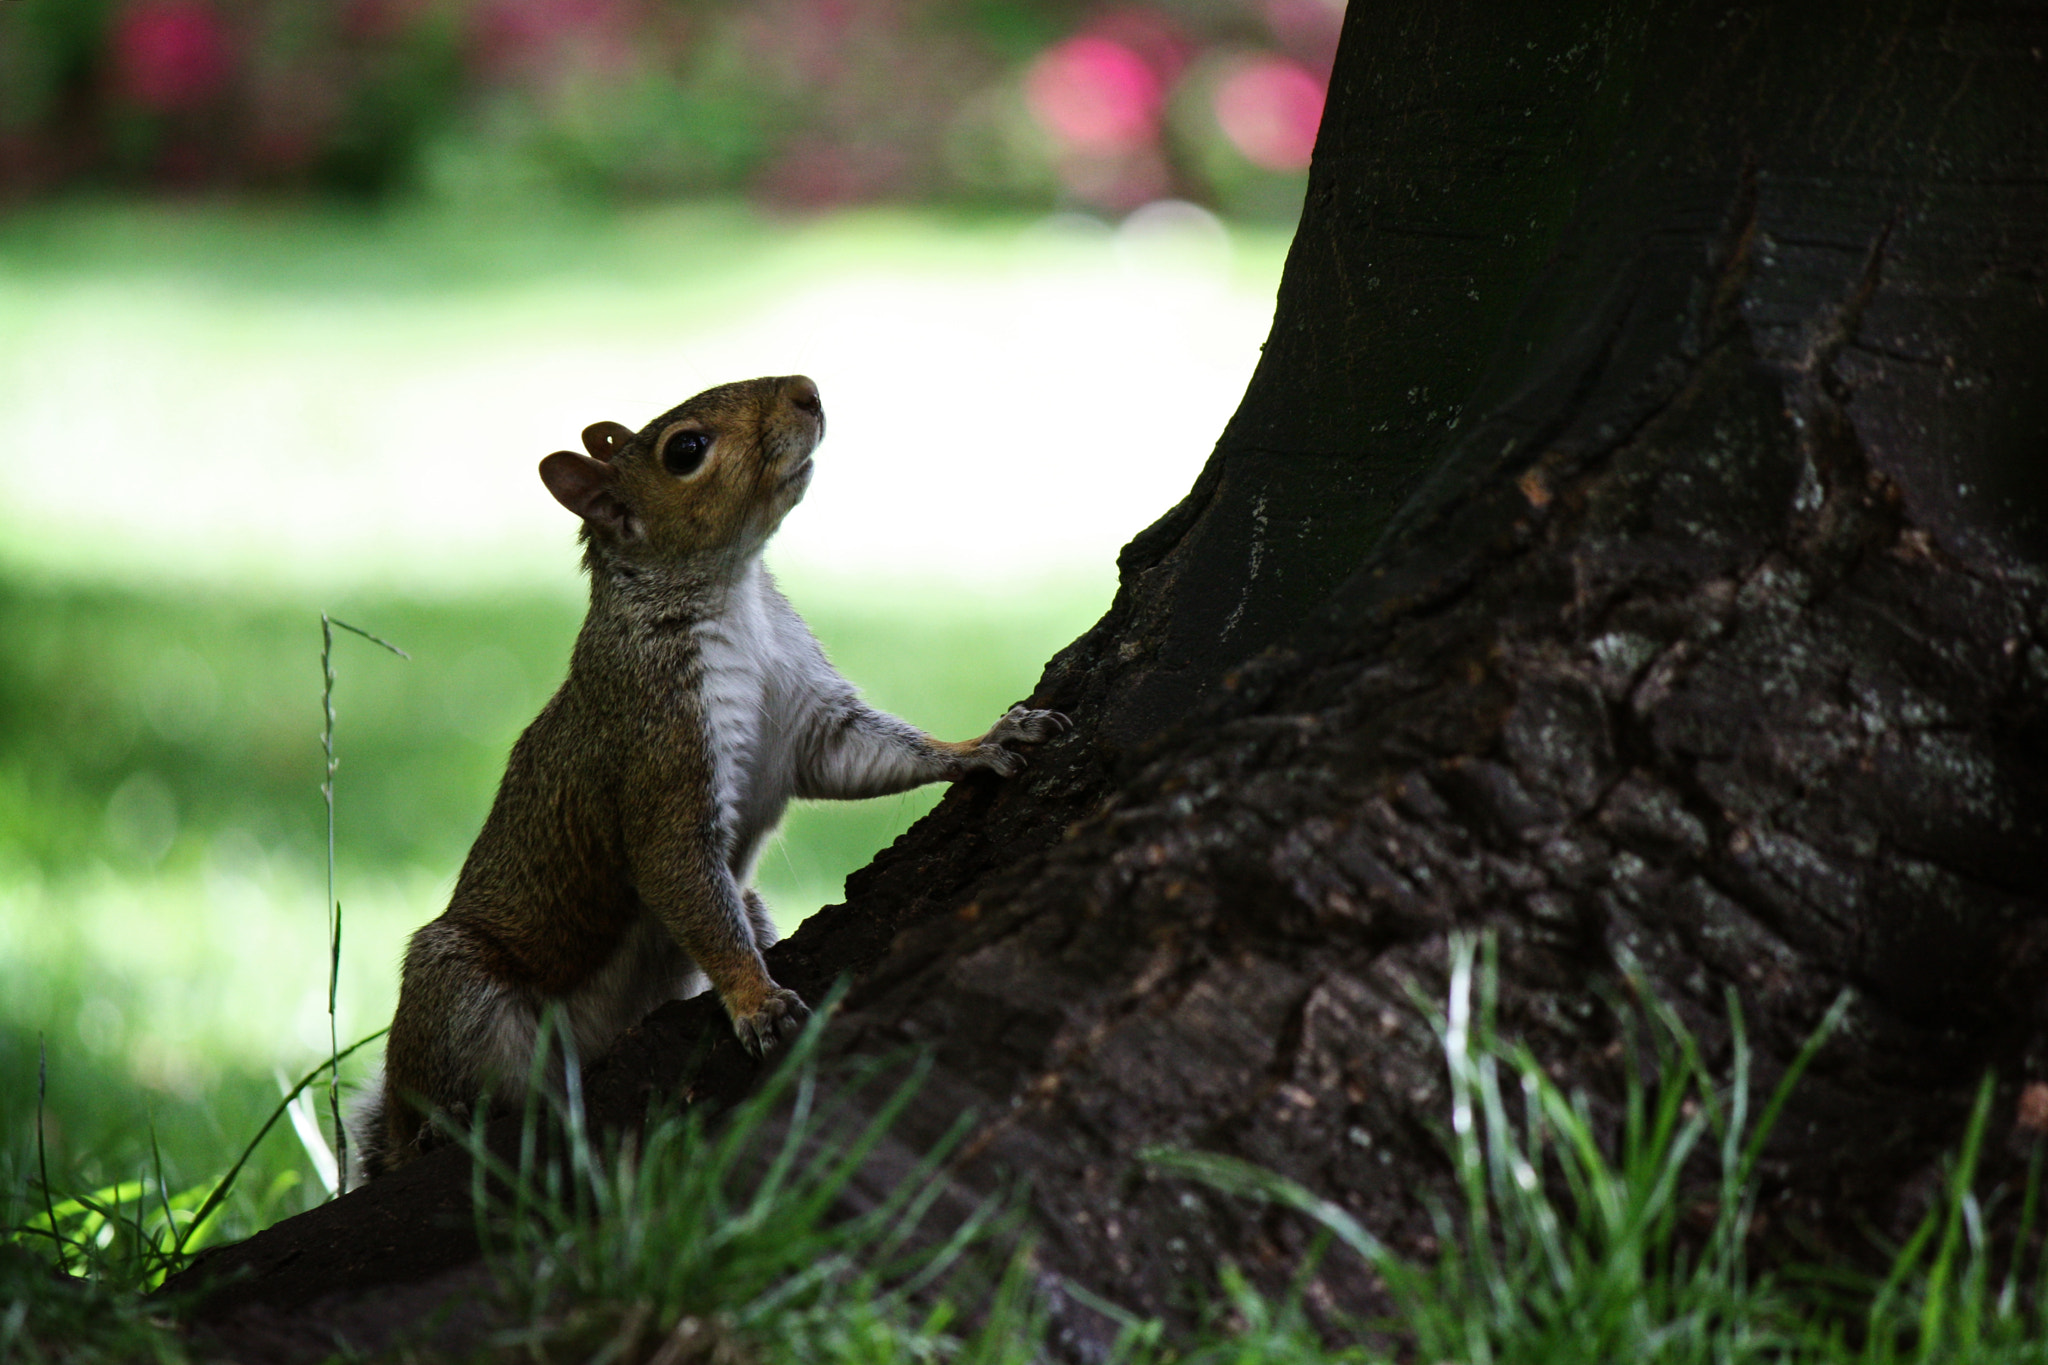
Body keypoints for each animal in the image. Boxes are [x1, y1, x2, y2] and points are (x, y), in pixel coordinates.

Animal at [349, 374, 1069, 1183]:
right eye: (685, 449)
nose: (807, 391)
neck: (733, 594)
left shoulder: (812, 717)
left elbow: (869, 753)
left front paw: (985, 743)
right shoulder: (660, 746)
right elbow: (680, 875)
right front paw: (757, 1000)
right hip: (459, 984)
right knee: (431, 1092)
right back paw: (430, 1132)